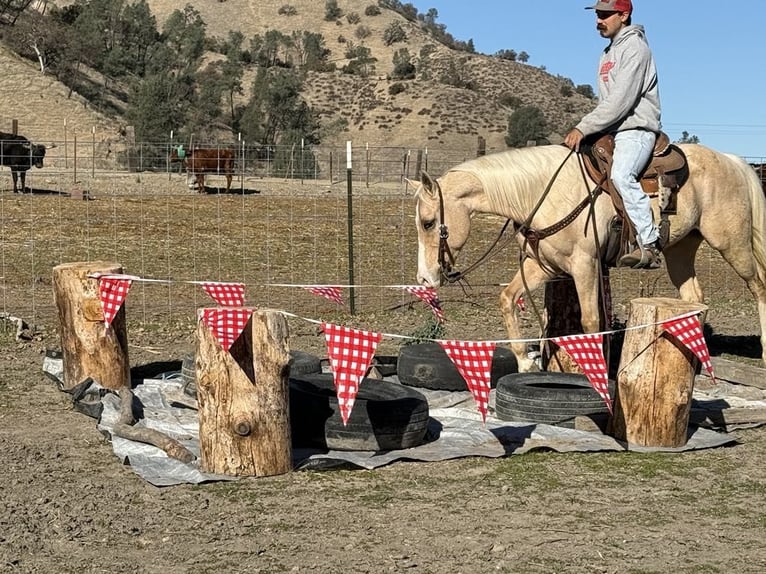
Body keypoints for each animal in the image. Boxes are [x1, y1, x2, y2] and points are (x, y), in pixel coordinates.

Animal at [413, 143, 766, 372]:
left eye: (428, 223)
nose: (424, 278)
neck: (544, 192)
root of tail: (732, 160)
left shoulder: (585, 265)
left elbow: (591, 320)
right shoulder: (542, 264)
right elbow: (508, 299)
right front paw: (525, 360)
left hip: (732, 244)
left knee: (759, 287)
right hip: (680, 249)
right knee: (694, 296)